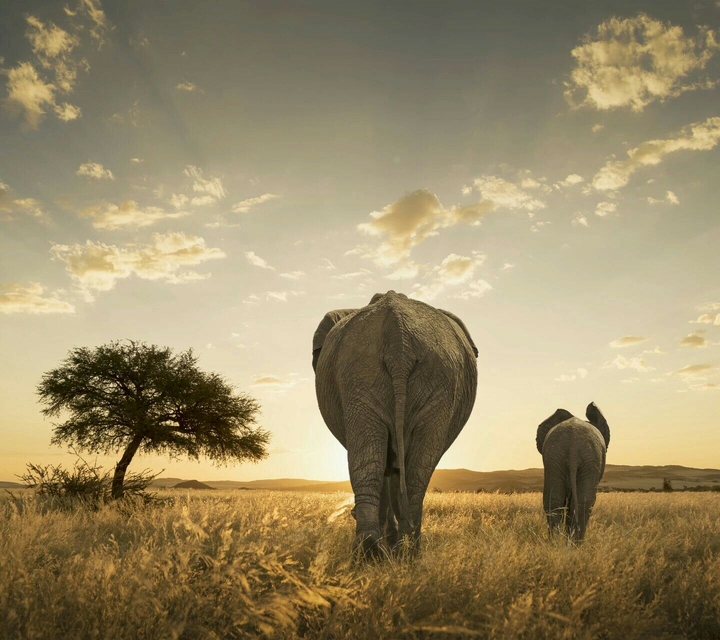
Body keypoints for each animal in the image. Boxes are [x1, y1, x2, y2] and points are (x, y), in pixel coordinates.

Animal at [313, 291, 478, 557]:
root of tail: (398, 338)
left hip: (383, 373)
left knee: (383, 460)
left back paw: (385, 551)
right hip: (396, 374)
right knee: (405, 465)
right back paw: (396, 551)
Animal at [536, 402, 610, 541]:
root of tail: (573, 448)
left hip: (555, 458)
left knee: (554, 500)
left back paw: (556, 541)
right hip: (589, 461)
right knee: (583, 503)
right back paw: (576, 542)